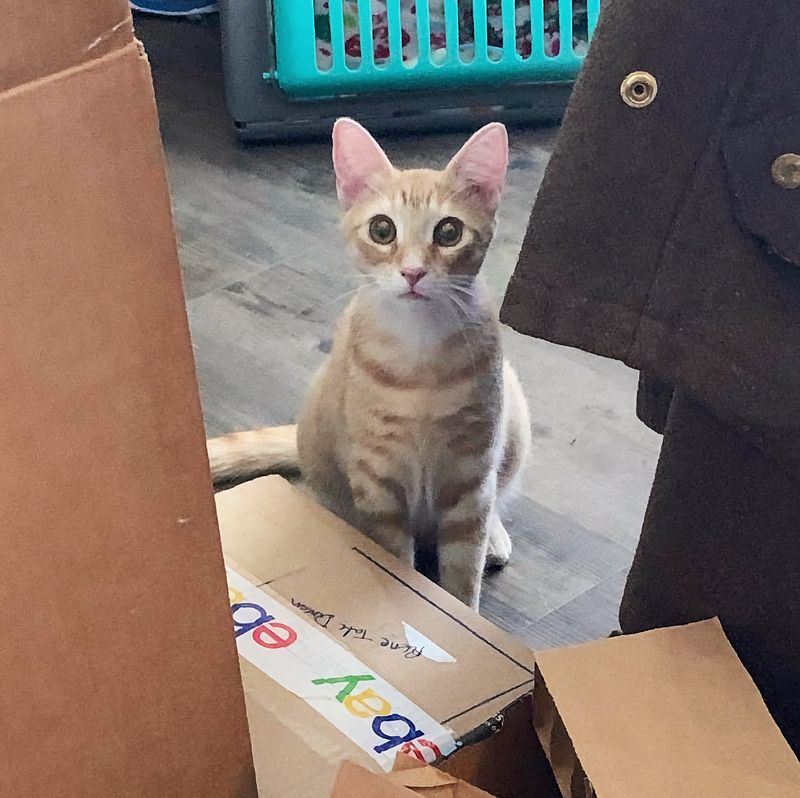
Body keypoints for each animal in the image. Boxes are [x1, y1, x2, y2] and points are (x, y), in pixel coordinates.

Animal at [209, 117, 528, 608]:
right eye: (382, 230)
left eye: (448, 232)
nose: (413, 272)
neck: (421, 357)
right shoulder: (378, 481)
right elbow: (396, 556)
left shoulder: (472, 473)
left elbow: (464, 567)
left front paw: (463, 608)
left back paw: (495, 536)